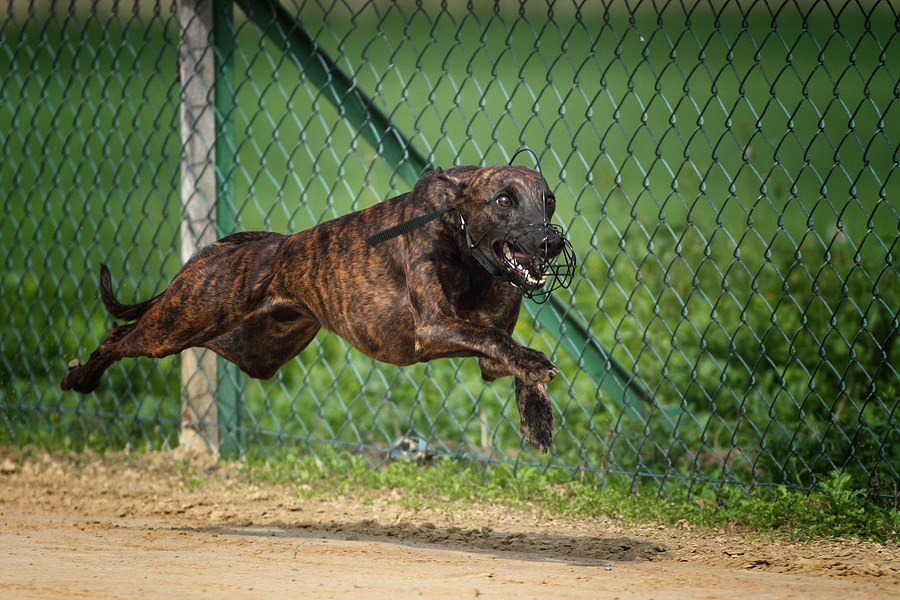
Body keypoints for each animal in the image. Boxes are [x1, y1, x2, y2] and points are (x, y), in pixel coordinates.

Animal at [59, 166, 572, 452]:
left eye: (548, 200)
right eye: (504, 199)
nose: (551, 242)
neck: (465, 243)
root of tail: (229, 246)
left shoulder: (486, 360)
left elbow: (504, 348)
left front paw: (538, 417)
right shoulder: (432, 328)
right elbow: (495, 338)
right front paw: (535, 368)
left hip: (251, 349)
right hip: (180, 321)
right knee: (118, 336)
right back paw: (79, 377)